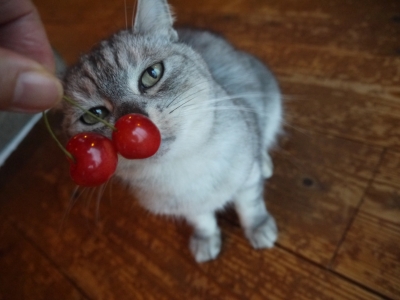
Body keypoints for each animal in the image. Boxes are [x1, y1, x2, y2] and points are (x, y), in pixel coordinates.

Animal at [61, 0, 282, 262]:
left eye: (152, 74)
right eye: (94, 114)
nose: (135, 123)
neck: (182, 169)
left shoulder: (247, 179)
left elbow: (250, 206)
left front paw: (258, 228)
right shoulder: (188, 208)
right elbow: (202, 221)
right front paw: (206, 240)